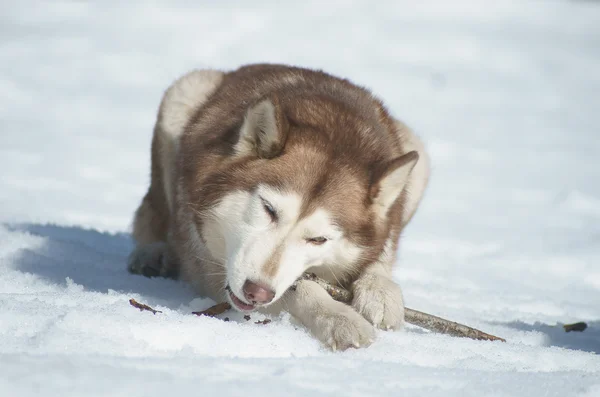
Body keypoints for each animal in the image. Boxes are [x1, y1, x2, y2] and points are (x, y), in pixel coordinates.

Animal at [127, 62, 426, 350]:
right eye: (268, 209)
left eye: (319, 239)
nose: (256, 292)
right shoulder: (213, 267)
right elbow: (299, 289)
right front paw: (339, 318)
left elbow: (380, 254)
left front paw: (381, 291)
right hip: (185, 90)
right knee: (151, 213)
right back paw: (154, 252)